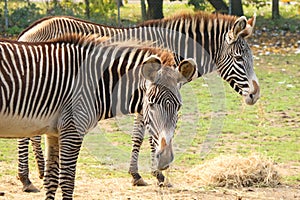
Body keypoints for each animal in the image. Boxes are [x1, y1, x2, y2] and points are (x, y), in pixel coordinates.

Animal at [0, 33, 197, 199]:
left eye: (179, 106)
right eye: (151, 103)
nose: (165, 158)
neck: (96, 84)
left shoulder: (54, 133)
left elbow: (51, 181)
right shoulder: (72, 130)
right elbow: (67, 181)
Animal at [17, 11, 260, 188]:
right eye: (239, 58)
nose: (256, 94)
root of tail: (28, 32)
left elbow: (139, 136)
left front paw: (137, 174)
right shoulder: (152, 96)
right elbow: (150, 136)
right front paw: (157, 175)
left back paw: (38, 171)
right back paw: (27, 179)